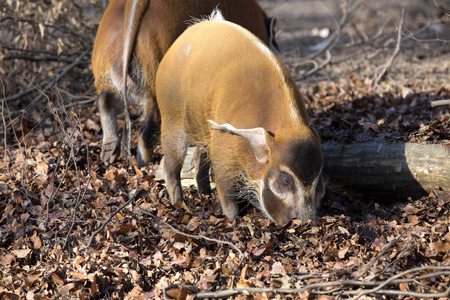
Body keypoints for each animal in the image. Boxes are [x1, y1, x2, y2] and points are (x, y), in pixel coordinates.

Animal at [91, 0, 276, 166]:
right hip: (158, 85)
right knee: (147, 127)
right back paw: (146, 163)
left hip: (106, 74)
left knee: (104, 101)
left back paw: (109, 156)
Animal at [156, 9, 326, 225]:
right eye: (285, 180)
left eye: (318, 181)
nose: (308, 222)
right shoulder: (223, 149)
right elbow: (226, 190)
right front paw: (232, 220)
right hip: (171, 118)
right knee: (171, 167)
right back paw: (180, 205)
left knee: (198, 155)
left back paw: (205, 194)